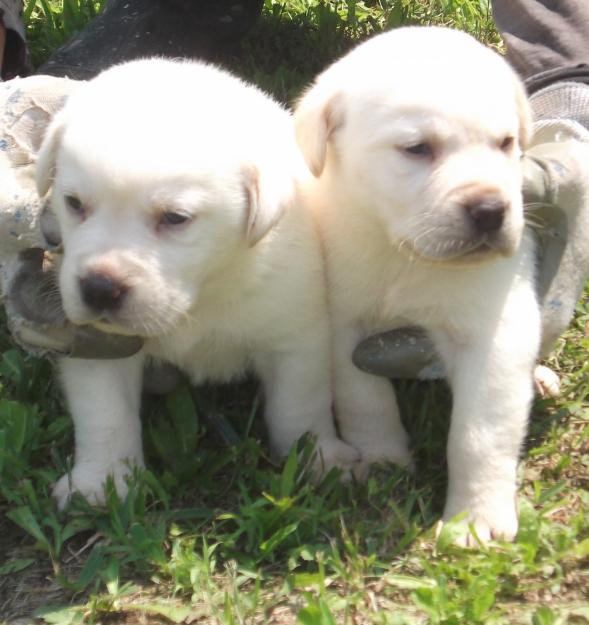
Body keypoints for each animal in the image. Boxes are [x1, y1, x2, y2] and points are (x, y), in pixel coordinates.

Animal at [38, 57, 358, 508]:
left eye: (175, 218)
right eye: (74, 204)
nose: (99, 288)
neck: (201, 296)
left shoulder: (295, 335)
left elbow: (300, 405)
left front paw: (319, 459)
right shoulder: (99, 345)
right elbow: (105, 414)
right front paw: (101, 481)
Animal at [296, 26, 540, 540]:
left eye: (506, 143)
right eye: (417, 149)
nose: (491, 210)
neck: (405, 255)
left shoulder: (496, 336)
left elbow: (478, 435)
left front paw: (476, 519)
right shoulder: (343, 325)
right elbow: (364, 400)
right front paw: (383, 458)